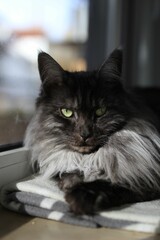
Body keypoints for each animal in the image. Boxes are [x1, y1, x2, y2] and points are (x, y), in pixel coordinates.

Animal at [24, 49, 160, 215]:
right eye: (67, 112)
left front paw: (80, 197)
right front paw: (70, 182)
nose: (85, 134)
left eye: (100, 111)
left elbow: (114, 182)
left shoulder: (145, 174)